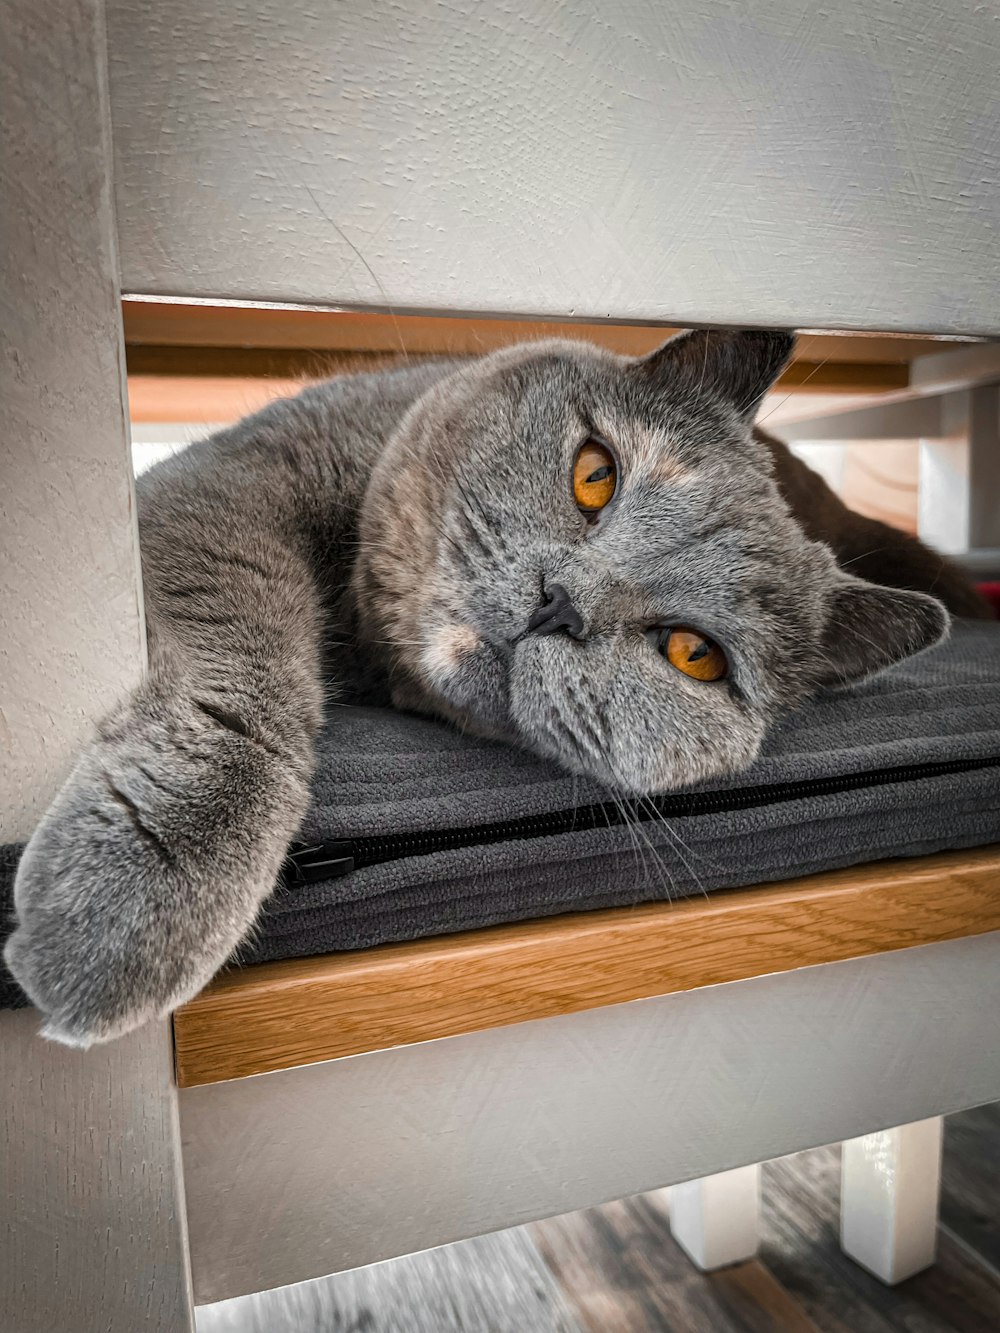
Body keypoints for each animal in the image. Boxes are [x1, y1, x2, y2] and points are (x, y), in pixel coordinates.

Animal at [5, 327, 986, 1045]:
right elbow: (246, 649)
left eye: (693, 653)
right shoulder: (230, 481)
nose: (561, 601)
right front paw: (131, 905)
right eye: (596, 473)